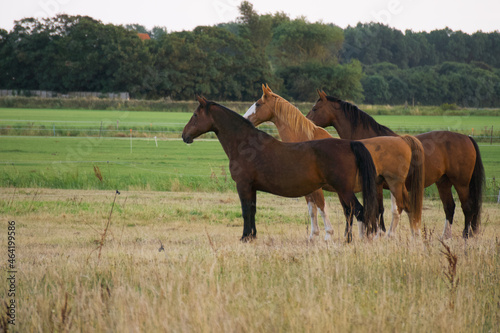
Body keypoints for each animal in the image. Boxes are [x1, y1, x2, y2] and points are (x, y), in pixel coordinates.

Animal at [184, 96, 378, 241]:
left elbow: (246, 211)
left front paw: (245, 237)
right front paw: (253, 236)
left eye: (195, 114)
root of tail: (350, 144)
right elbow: (252, 210)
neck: (246, 144)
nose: (185, 135)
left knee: (359, 211)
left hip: (344, 190)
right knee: (352, 212)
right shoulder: (252, 188)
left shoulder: (243, 185)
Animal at [244, 84, 424, 237]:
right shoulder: (309, 189)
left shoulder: (319, 189)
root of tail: (403, 140)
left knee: (400, 209)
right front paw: (314, 236)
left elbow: (323, 208)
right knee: (405, 209)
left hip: (394, 185)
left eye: (258, 104)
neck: (306, 140)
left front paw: (328, 235)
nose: (245, 119)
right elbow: (314, 210)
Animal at [306, 89, 486, 237]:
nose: (307, 122)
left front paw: (379, 233)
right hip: (443, 183)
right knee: (450, 207)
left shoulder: (376, 185)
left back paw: (465, 235)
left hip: (461, 183)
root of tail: (467, 137)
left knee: (467, 207)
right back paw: (445, 236)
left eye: (315, 108)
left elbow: (378, 209)